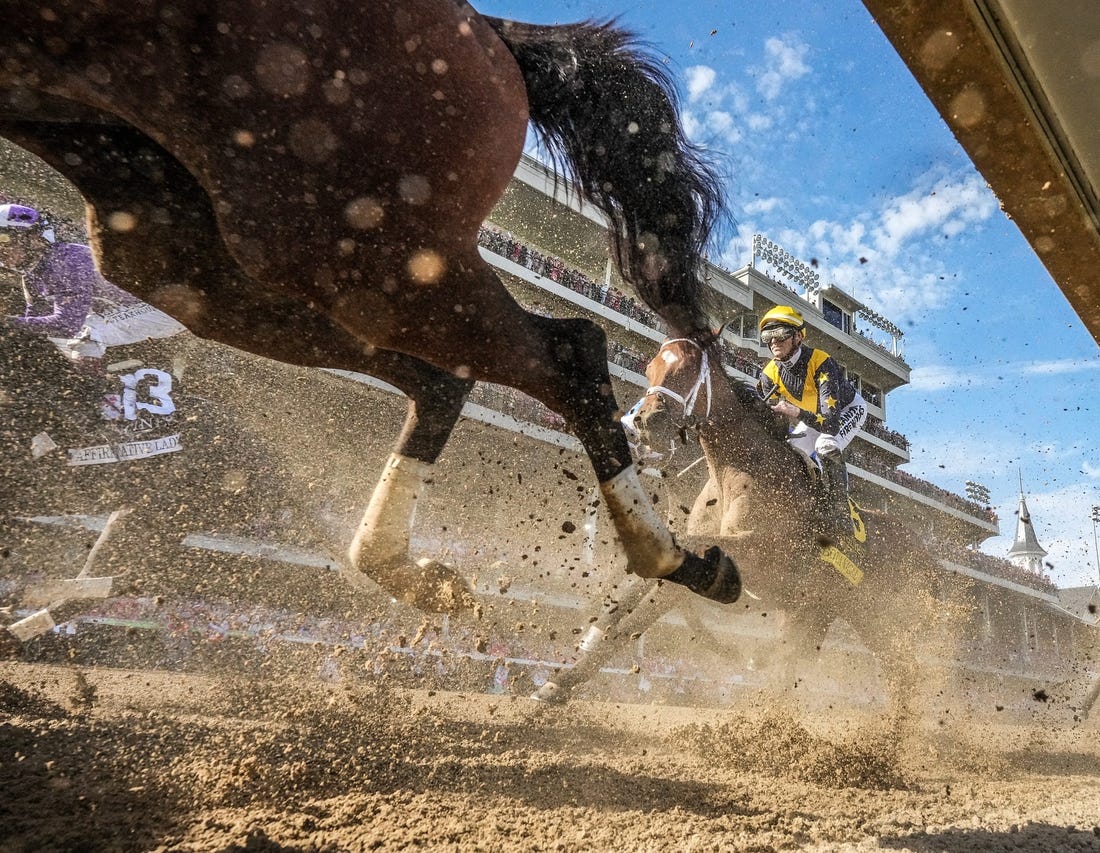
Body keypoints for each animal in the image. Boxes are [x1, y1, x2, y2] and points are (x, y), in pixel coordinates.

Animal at [2, 1, 739, 611]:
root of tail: (486, 28)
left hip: (338, 225)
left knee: (565, 349)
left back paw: (674, 558)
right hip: (183, 230)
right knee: (448, 376)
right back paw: (400, 565)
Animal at [536, 336, 968, 708]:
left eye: (687, 369)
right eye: (651, 366)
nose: (643, 420)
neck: (737, 471)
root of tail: (930, 557)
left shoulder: (755, 558)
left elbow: (644, 610)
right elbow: (635, 593)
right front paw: (571, 662)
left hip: (885, 617)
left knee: (903, 671)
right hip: (828, 612)